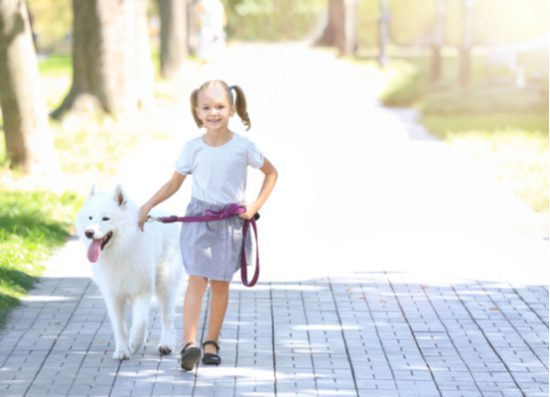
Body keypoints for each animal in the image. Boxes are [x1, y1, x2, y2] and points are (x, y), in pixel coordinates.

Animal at [76, 185, 183, 358]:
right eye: (90, 218)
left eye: (105, 219)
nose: (89, 233)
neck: (121, 250)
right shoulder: (113, 295)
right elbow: (120, 326)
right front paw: (122, 350)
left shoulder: (143, 290)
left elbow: (141, 322)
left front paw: (134, 344)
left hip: (165, 284)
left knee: (167, 318)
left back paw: (166, 343)